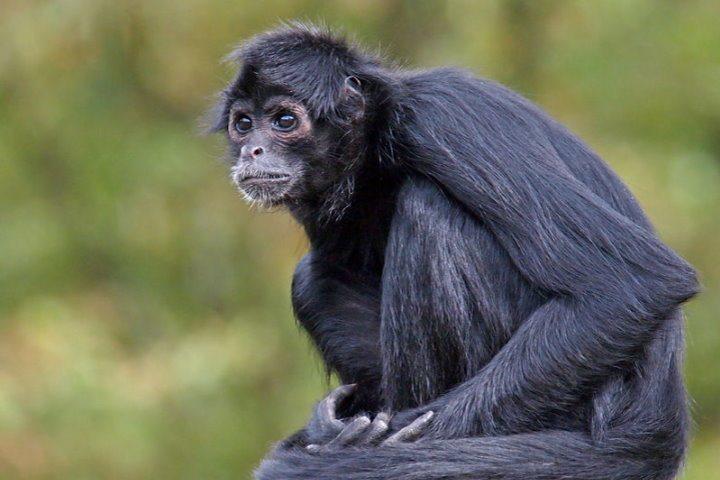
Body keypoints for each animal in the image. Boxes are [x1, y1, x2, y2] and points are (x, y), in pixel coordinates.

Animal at [211, 25, 700, 480]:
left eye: (284, 121)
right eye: (243, 123)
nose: (252, 150)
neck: (383, 133)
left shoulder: (446, 118)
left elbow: (631, 283)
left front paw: (369, 438)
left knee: (428, 207)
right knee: (314, 278)